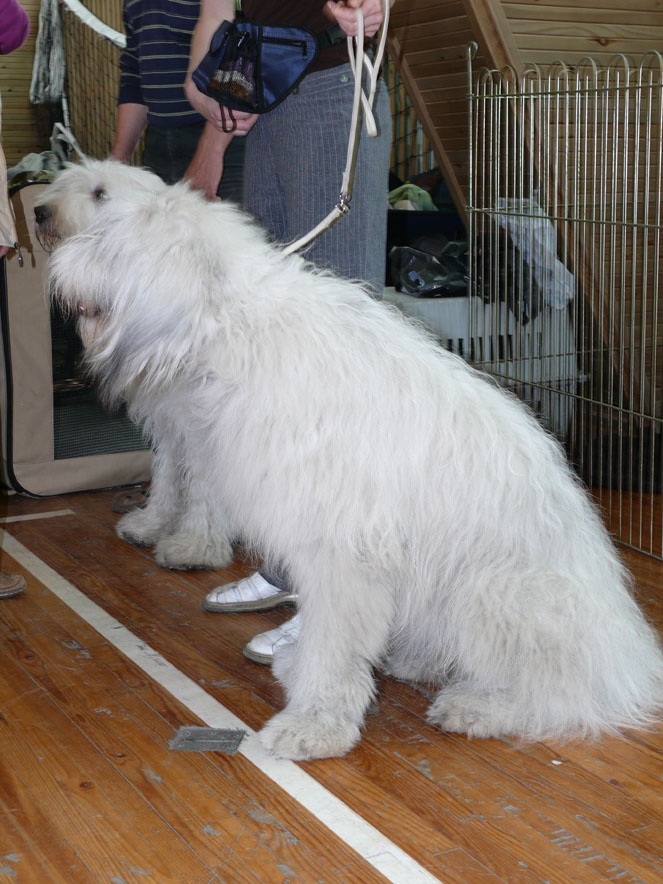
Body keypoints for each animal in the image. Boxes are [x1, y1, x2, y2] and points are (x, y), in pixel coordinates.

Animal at [37, 159, 663, 761]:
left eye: (108, 230)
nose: (54, 258)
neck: (234, 324)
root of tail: (635, 656)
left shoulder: (341, 553)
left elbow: (332, 646)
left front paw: (314, 725)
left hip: (493, 595)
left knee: (565, 694)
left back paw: (479, 707)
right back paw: (418, 662)